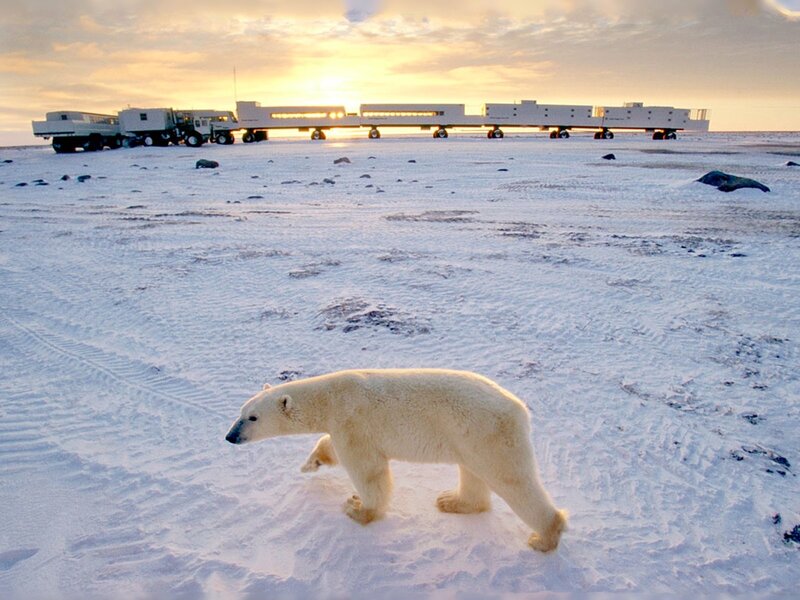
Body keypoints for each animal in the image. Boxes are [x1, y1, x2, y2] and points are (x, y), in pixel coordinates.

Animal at [225, 368, 567, 552]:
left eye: (252, 417)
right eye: (240, 412)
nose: (230, 436)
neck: (332, 397)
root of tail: (520, 410)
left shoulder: (353, 422)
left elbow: (368, 471)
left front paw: (358, 509)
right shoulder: (342, 425)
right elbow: (330, 446)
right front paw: (310, 464)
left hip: (487, 434)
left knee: (513, 481)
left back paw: (544, 536)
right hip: (469, 439)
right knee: (472, 473)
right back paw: (452, 501)